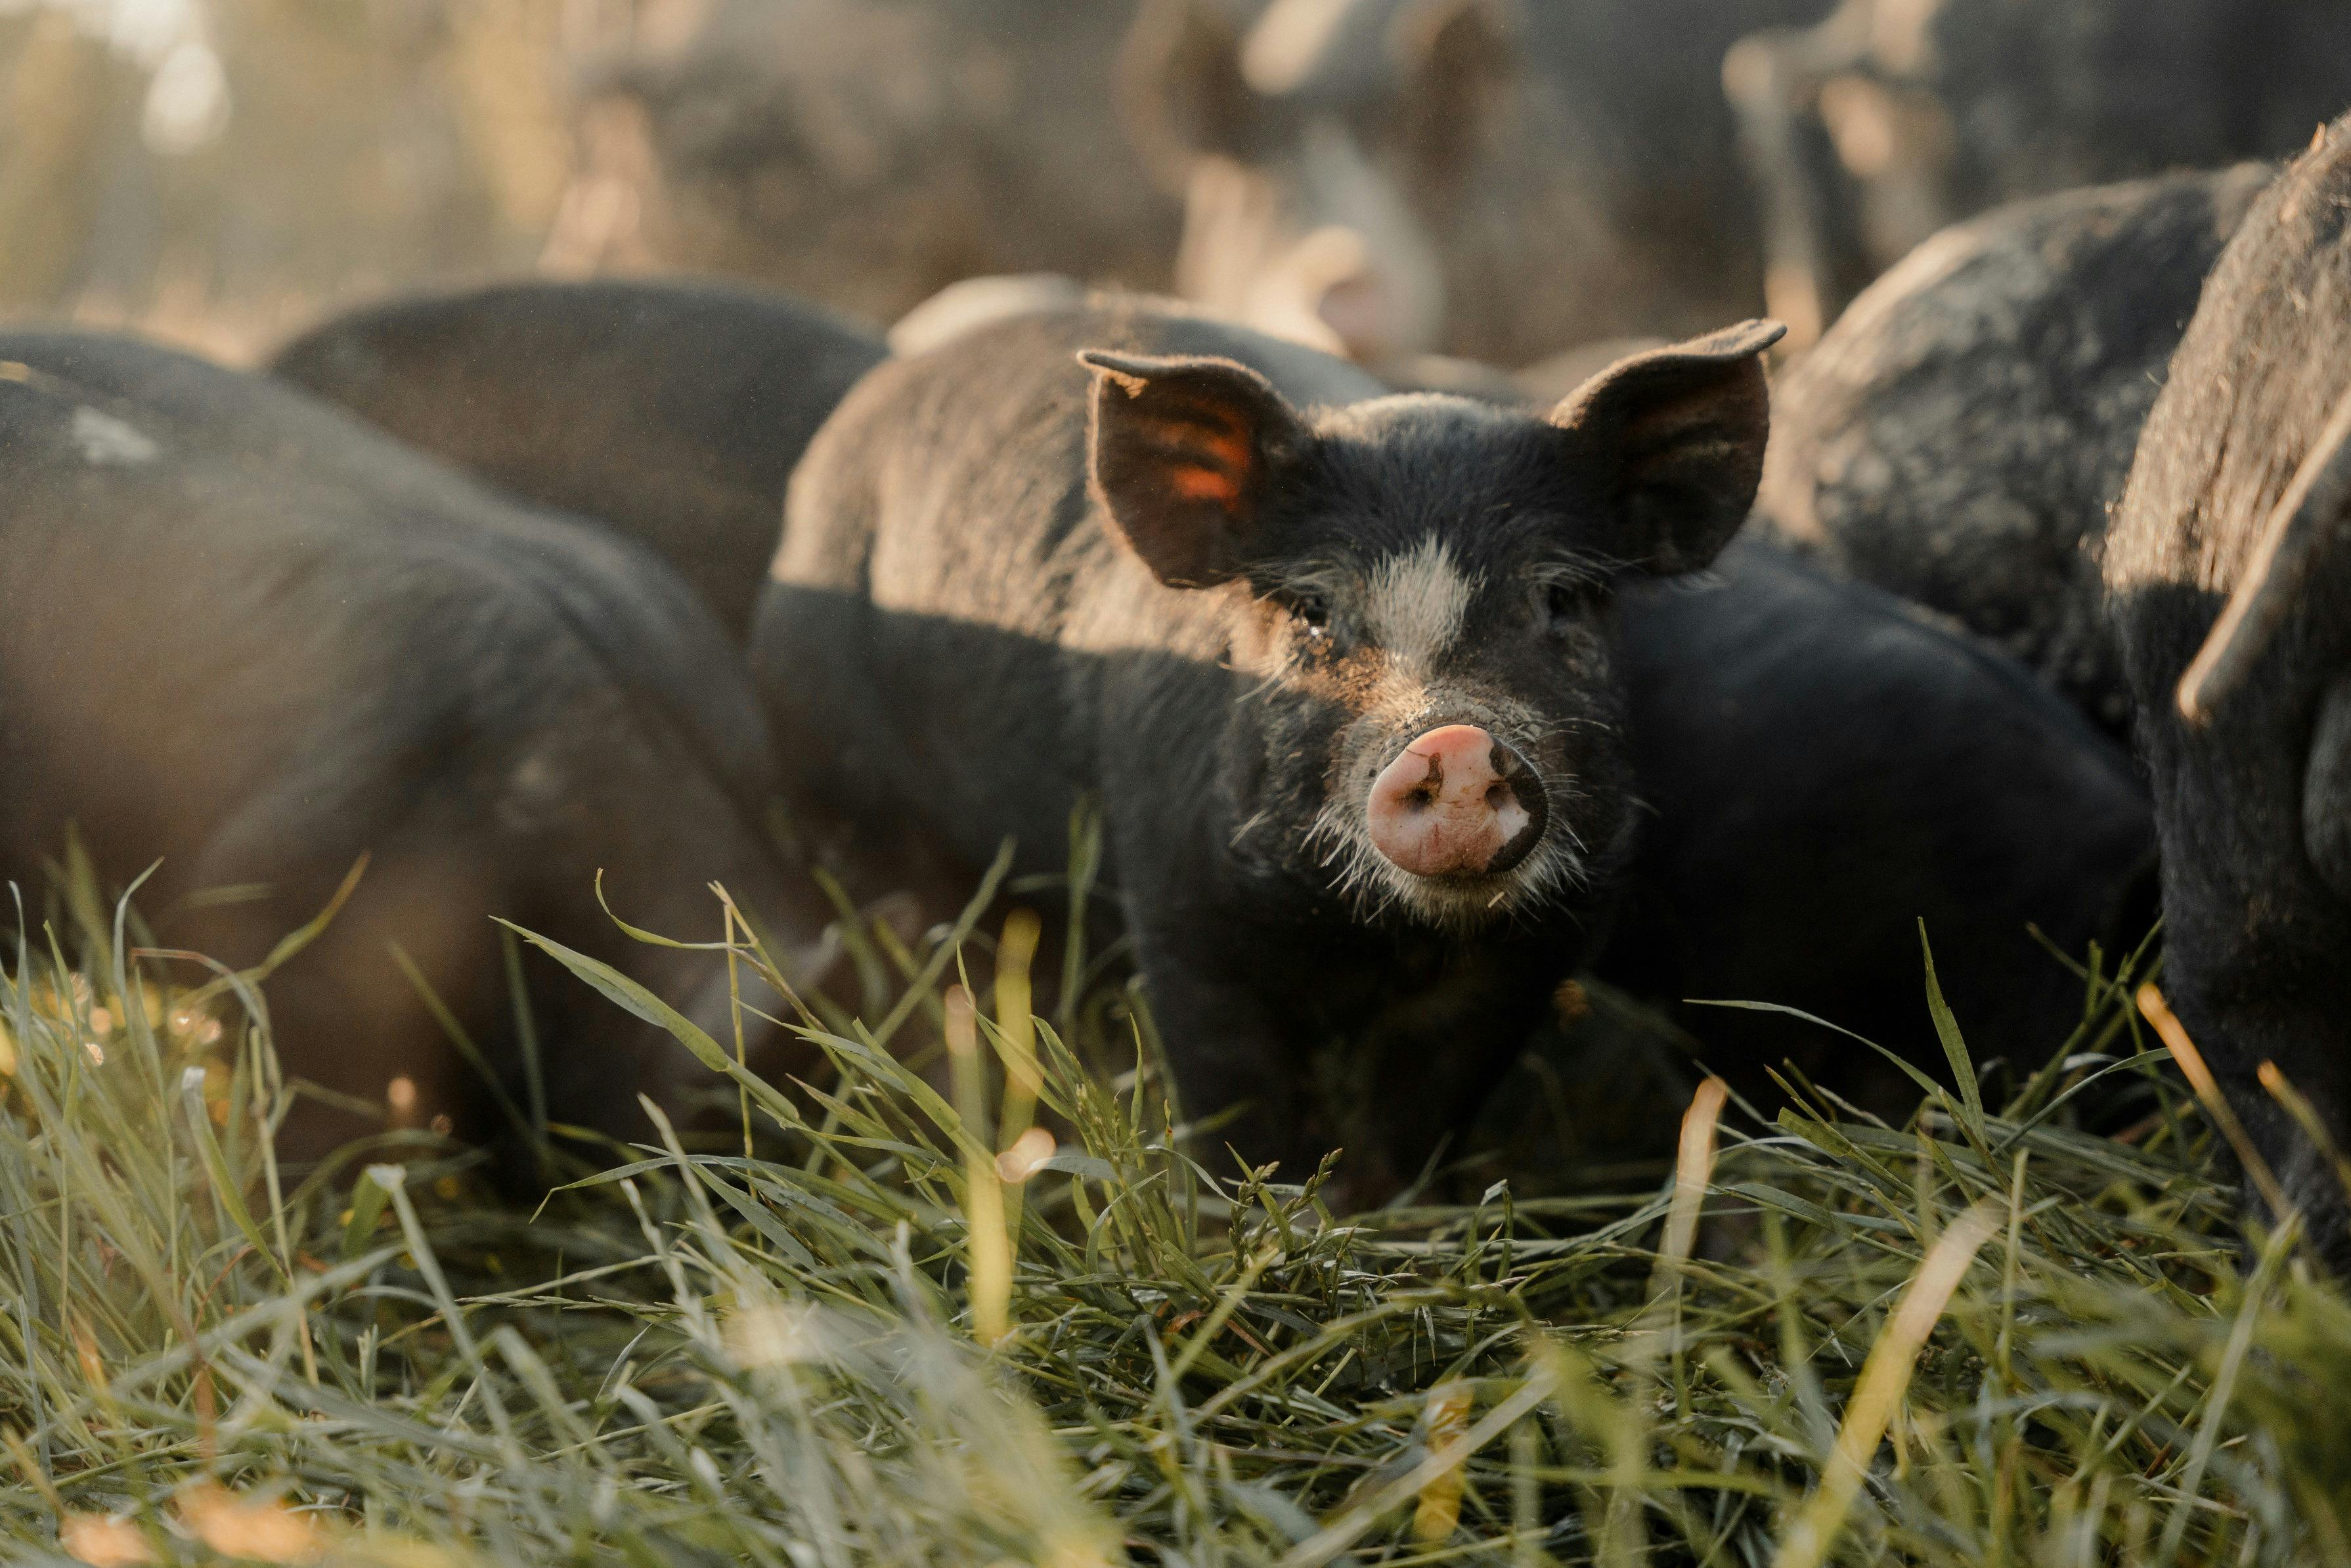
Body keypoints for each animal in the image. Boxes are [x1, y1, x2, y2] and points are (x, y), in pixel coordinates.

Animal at [752, 297, 1783, 1196]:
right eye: (1313, 610)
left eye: (1561, 598)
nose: (1451, 739)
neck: (1373, 939)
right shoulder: (1180, 906)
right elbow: (1237, 1110)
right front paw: (1260, 1221)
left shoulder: (1538, 949)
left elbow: (1421, 1113)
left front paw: (1388, 1215)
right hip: (839, 791)